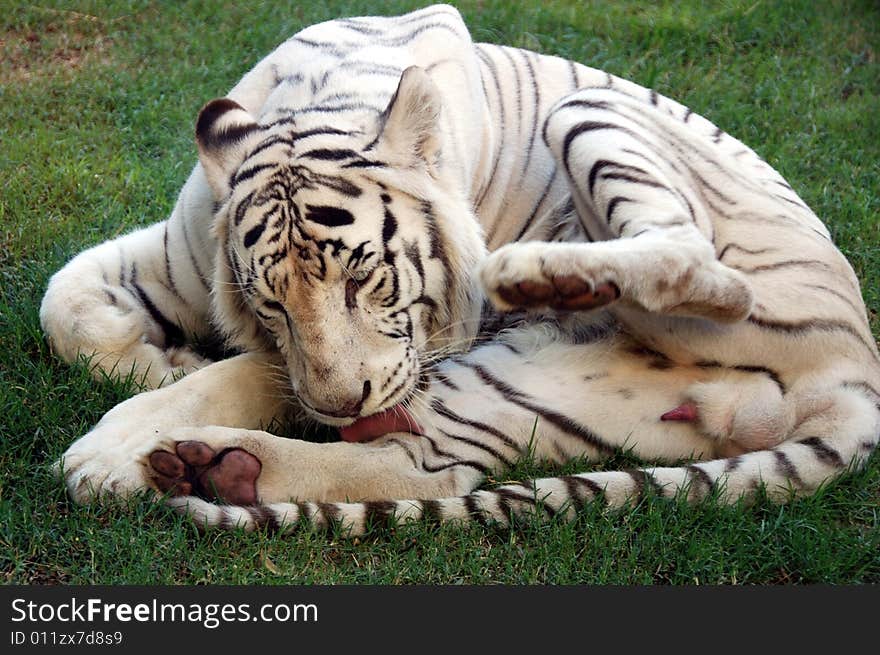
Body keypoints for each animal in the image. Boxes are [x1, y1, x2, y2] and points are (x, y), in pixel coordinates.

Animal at [43, 5, 880, 536]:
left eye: (363, 278)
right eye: (271, 303)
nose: (338, 405)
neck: (320, 102)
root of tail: (857, 370)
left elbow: (245, 371)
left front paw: (110, 450)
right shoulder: (178, 254)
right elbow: (64, 305)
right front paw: (162, 368)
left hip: (591, 113)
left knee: (696, 260)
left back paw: (545, 274)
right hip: (522, 385)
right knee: (422, 467)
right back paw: (217, 468)